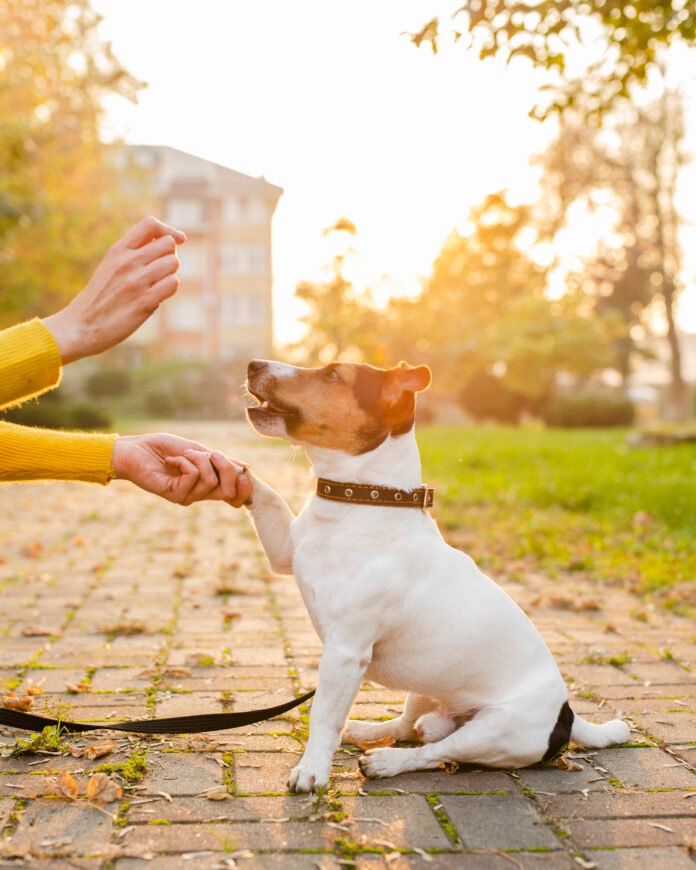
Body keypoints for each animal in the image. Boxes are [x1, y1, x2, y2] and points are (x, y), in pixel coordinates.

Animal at [241, 358, 632, 792]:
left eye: (332, 375)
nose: (254, 364)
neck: (361, 500)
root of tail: (567, 715)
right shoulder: (285, 553)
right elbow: (266, 493)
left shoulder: (345, 652)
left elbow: (324, 716)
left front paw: (312, 770)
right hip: (424, 687)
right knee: (406, 727)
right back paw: (364, 729)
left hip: (494, 731)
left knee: (434, 753)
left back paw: (386, 762)